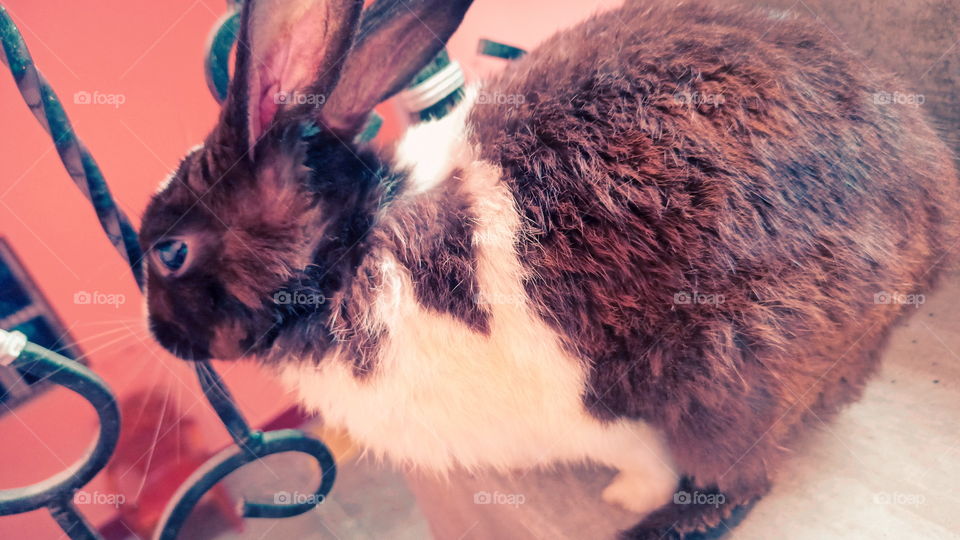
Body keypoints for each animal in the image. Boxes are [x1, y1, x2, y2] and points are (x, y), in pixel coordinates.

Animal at [140, 0, 960, 537]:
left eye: (168, 253)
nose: (159, 336)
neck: (349, 250)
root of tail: (930, 214)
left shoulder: (593, 413)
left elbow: (642, 459)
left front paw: (628, 497)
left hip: (737, 376)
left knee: (742, 479)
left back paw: (655, 524)